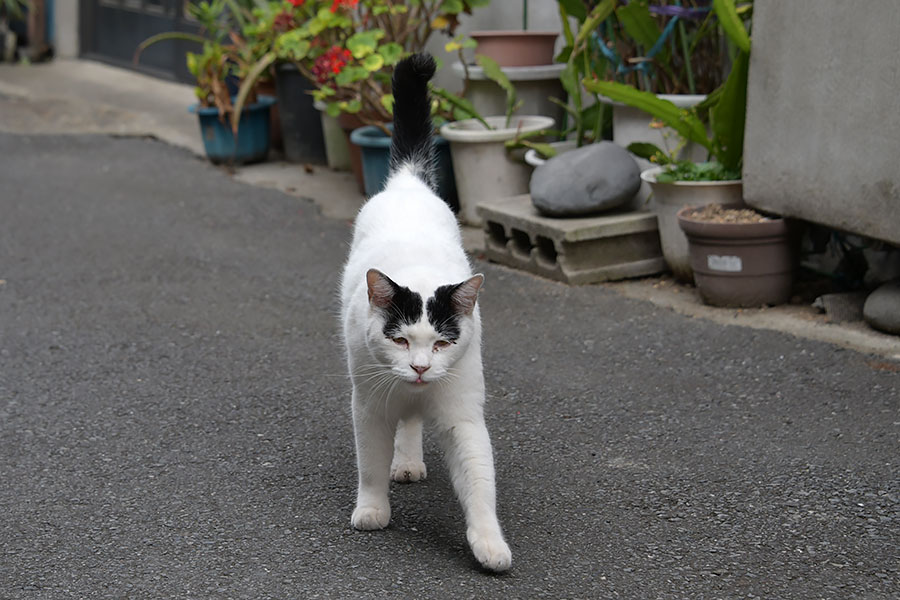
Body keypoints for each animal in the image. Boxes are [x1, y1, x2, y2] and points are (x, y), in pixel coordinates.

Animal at [340, 52, 512, 572]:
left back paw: (410, 461)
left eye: (441, 343)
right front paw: (372, 510)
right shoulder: (369, 407)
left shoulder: (462, 415)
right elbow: (370, 464)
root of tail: (408, 184)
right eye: (398, 339)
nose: (418, 367)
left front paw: (489, 544)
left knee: (413, 421)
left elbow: (478, 480)